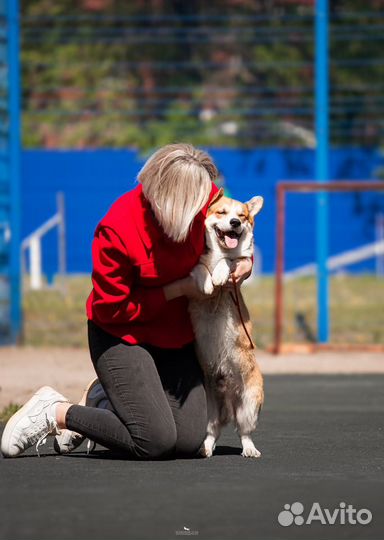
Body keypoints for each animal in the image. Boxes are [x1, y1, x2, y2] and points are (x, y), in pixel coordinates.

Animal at [188, 188, 264, 458]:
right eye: (222, 212)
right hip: (207, 409)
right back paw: (204, 448)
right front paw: (207, 282)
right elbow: (200, 267)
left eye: (242, 216)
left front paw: (219, 274)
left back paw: (250, 450)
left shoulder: (237, 264)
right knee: (212, 431)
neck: (220, 252)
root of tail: (229, 402)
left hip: (249, 403)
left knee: (244, 431)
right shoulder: (198, 264)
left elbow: (229, 262)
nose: (234, 223)